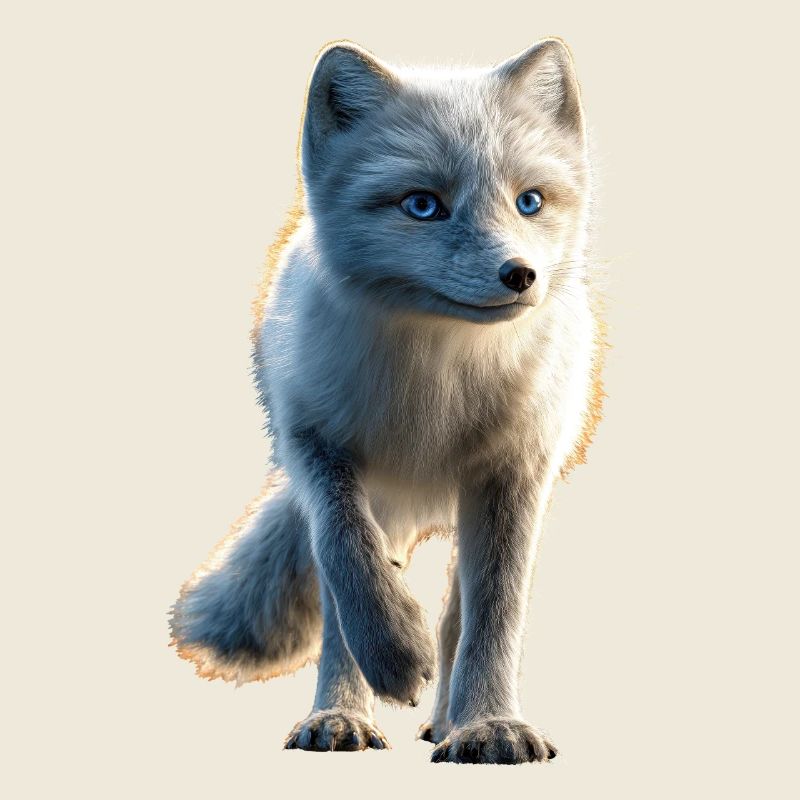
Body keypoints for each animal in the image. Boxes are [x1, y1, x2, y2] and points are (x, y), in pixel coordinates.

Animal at [169, 37, 605, 764]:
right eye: (422, 206)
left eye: (530, 202)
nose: (520, 275)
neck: (434, 385)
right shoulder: (317, 447)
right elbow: (349, 564)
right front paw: (390, 660)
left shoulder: (516, 471)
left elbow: (494, 616)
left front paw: (491, 726)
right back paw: (348, 713)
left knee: (460, 612)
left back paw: (450, 721)